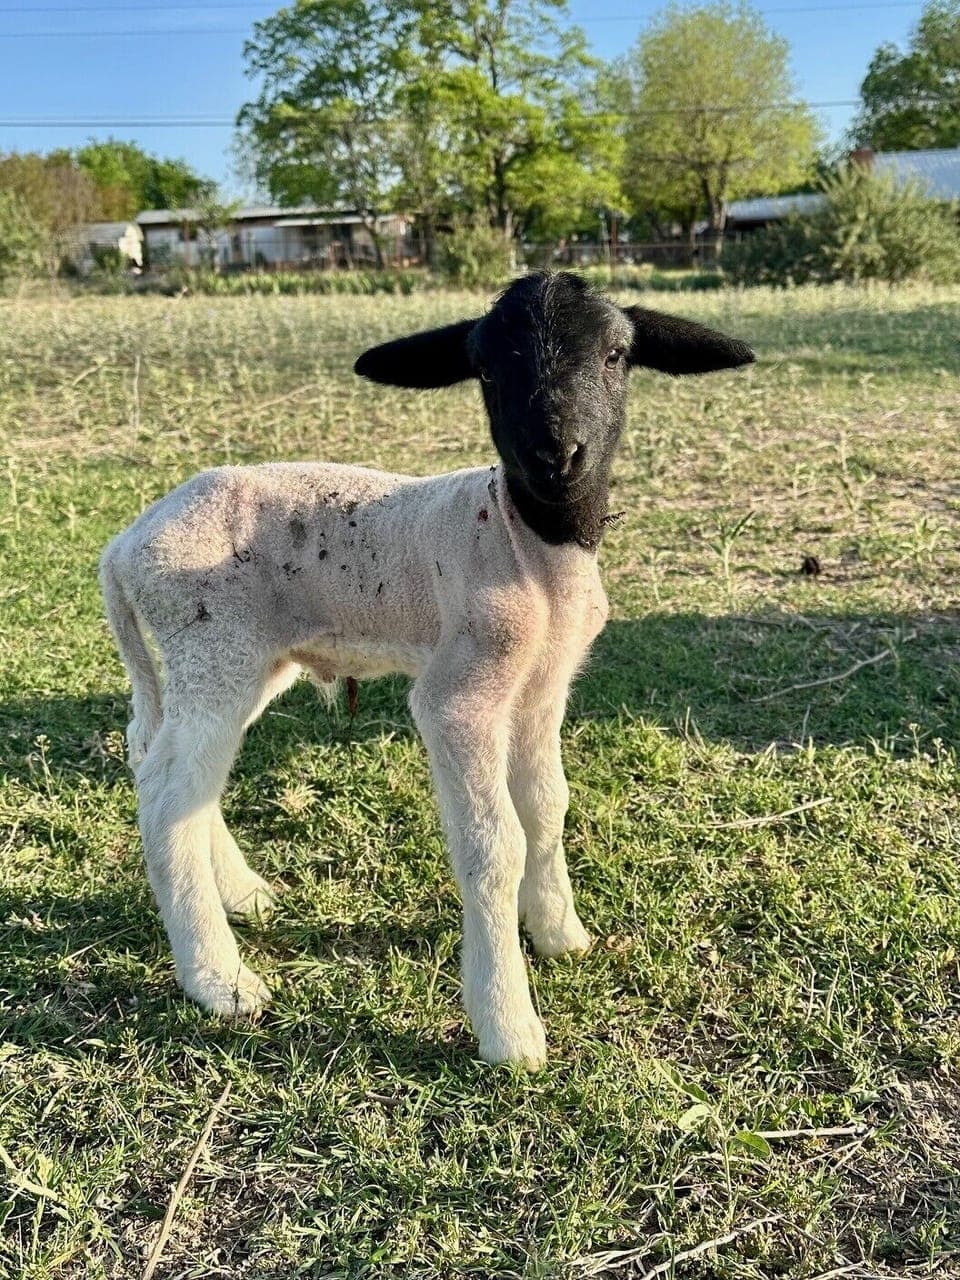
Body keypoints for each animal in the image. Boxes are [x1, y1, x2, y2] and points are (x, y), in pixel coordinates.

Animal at [100, 271, 754, 1067]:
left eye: (616, 355)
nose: (555, 455)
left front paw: (560, 933)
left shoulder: (542, 691)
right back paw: (219, 980)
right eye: (487, 368)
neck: (527, 540)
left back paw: (243, 895)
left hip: (243, 662)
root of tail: (125, 544)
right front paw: (509, 1027)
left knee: (170, 769)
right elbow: (496, 844)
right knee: (167, 793)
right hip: (212, 646)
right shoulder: (460, 695)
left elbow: (548, 808)